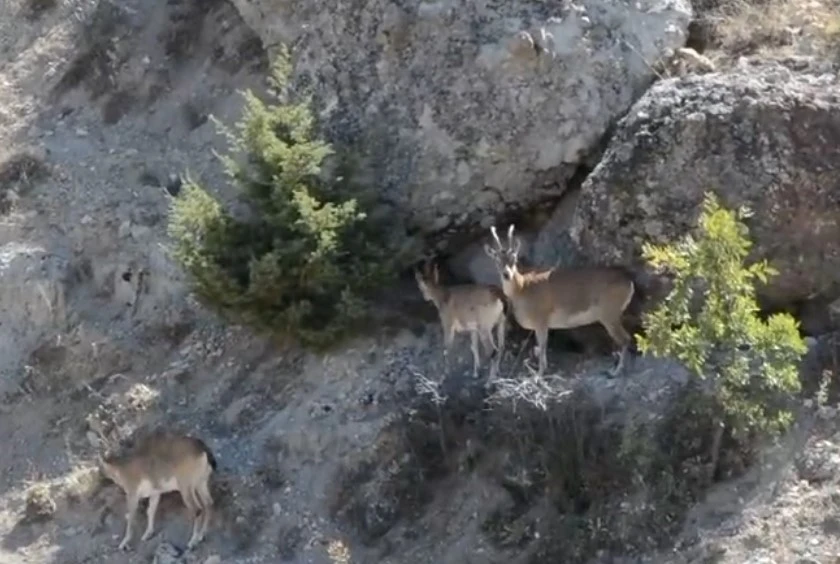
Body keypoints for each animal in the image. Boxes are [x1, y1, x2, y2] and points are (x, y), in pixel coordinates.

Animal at [482, 223, 632, 376]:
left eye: (514, 258)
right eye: (496, 260)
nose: (506, 275)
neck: (522, 288)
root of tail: (628, 281)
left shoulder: (541, 321)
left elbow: (542, 346)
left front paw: (539, 374)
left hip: (609, 314)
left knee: (625, 339)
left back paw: (616, 371)